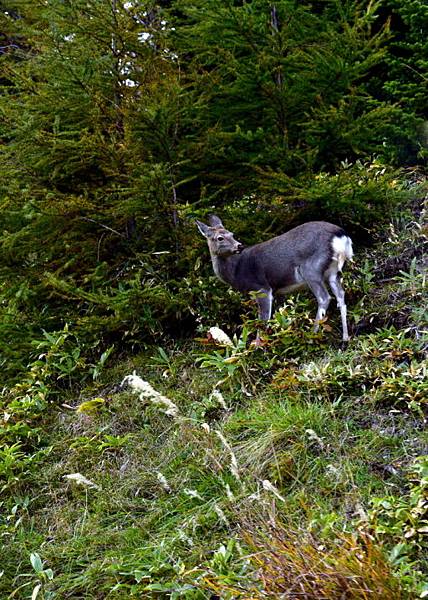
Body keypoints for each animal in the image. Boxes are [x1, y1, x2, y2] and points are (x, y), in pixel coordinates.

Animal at [196, 216, 352, 342]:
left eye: (231, 234)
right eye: (220, 238)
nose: (239, 245)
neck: (236, 271)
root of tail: (340, 237)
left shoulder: (261, 287)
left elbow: (263, 320)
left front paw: (257, 347)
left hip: (311, 270)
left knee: (324, 298)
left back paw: (311, 336)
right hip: (333, 271)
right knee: (341, 296)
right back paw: (345, 338)